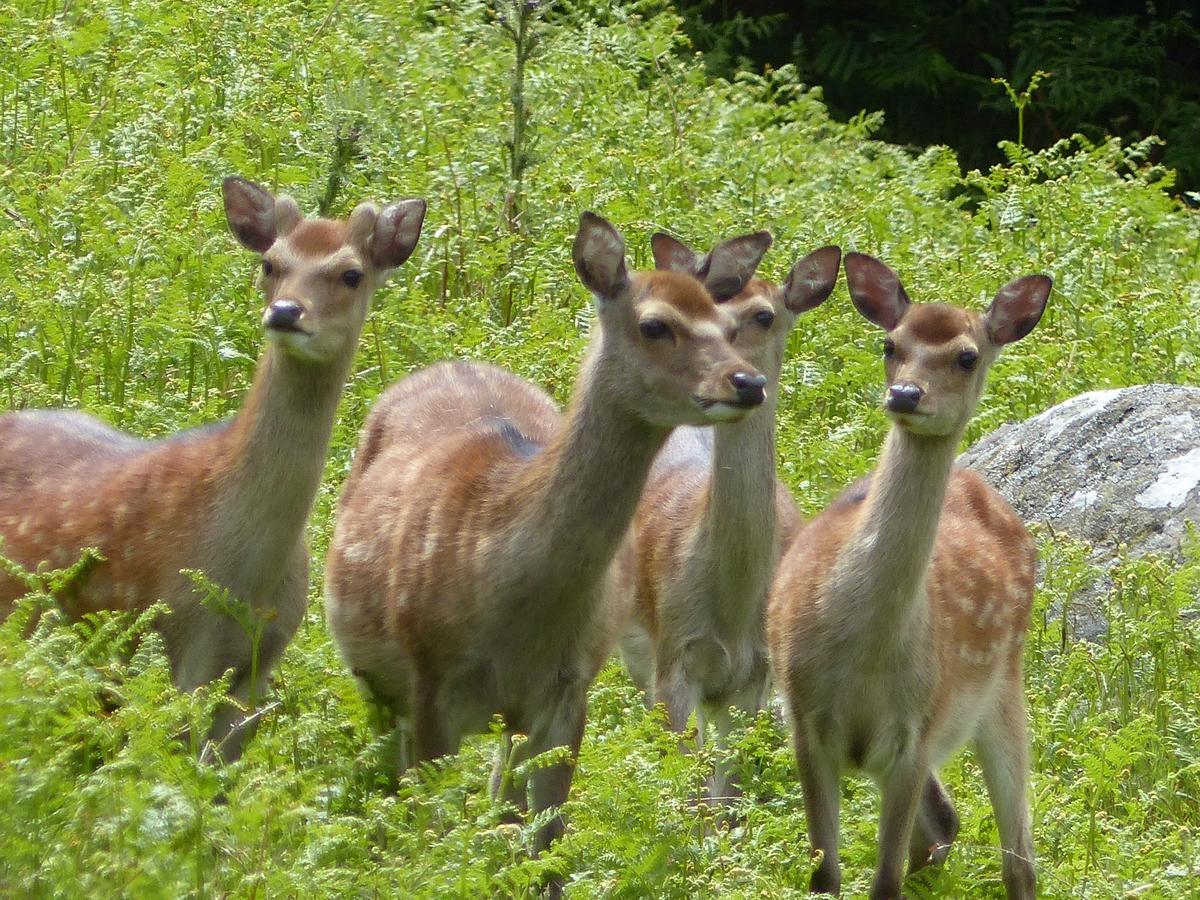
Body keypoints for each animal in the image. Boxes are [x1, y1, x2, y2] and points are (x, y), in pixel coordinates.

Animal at [0, 176, 427, 763]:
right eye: (271, 263)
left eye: (350, 273)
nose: (286, 312)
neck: (245, 571)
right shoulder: (180, 632)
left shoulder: (261, 658)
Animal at [321, 211, 768, 873]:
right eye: (655, 324)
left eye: (727, 325)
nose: (747, 382)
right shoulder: (429, 677)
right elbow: (436, 833)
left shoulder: (569, 686)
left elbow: (547, 844)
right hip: (376, 679)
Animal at [614, 232, 840, 801]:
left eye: (764, 315)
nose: (740, 380)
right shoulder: (673, 657)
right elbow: (688, 789)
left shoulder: (752, 678)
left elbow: (728, 796)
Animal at [768, 252, 1051, 900]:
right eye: (890, 344)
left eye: (967, 355)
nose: (904, 393)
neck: (864, 655)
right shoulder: (804, 718)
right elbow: (825, 875)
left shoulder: (917, 733)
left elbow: (885, 882)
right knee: (945, 824)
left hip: (1003, 685)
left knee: (1018, 856)